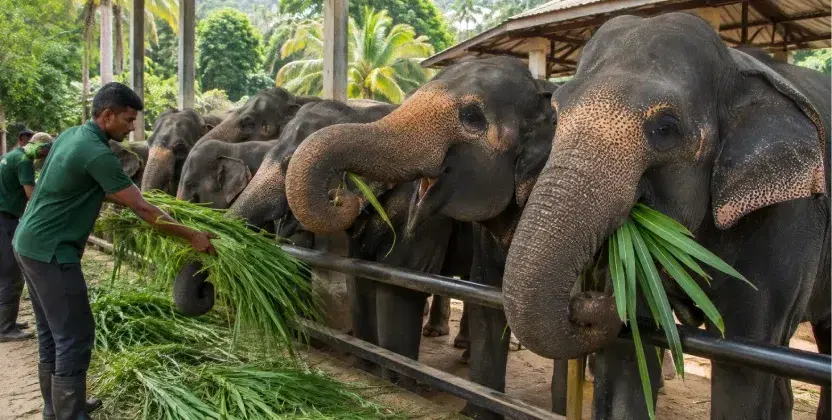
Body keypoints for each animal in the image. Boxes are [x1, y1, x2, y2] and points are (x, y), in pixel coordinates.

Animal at [501, 13, 830, 420]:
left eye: (665, 129)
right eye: (557, 114)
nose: (588, 298)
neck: (734, 67)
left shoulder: (785, 219)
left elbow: (744, 365)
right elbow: (632, 349)